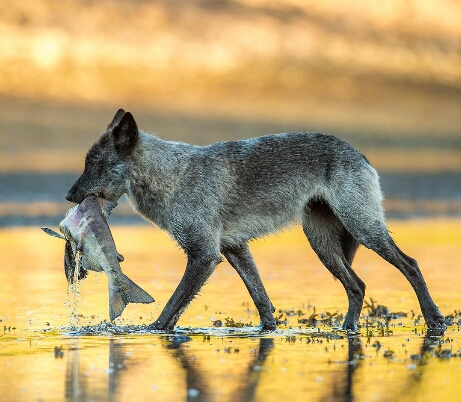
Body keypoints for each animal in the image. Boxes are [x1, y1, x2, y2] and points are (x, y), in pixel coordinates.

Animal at [65, 108, 446, 332]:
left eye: (93, 165)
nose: (69, 197)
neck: (175, 176)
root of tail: (358, 153)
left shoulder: (205, 256)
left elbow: (172, 306)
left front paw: (152, 332)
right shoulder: (234, 249)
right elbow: (261, 297)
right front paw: (267, 332)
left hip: (363, 230)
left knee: (410, 265)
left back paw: (435, 321)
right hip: (323, 245)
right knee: (358, 284)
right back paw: (347, 329)